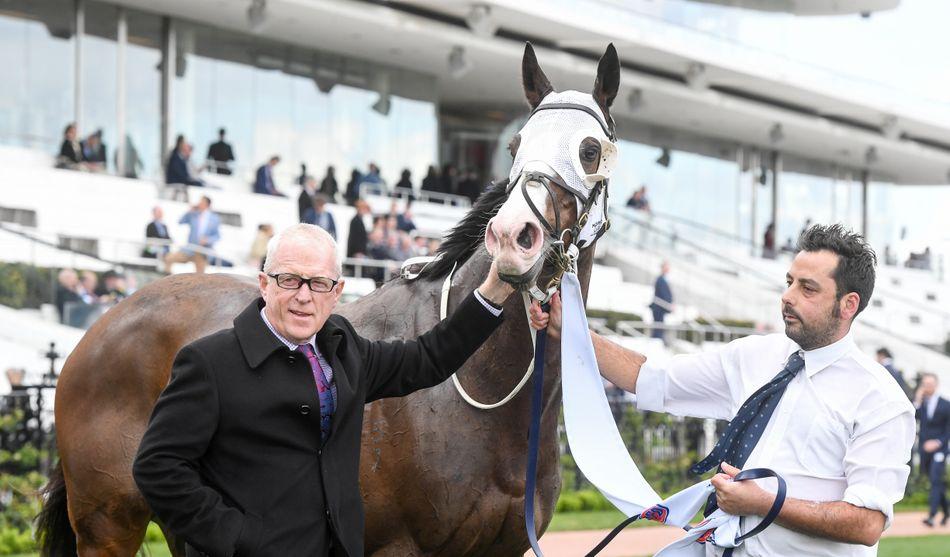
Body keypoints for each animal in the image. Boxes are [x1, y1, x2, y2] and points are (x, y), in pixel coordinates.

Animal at [37, 43, 620, 556]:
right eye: (516, 146)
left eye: (590, 151)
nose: (513, 236)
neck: (480, 391)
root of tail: (102, 328)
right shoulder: (397, 546)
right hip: (108, 524)